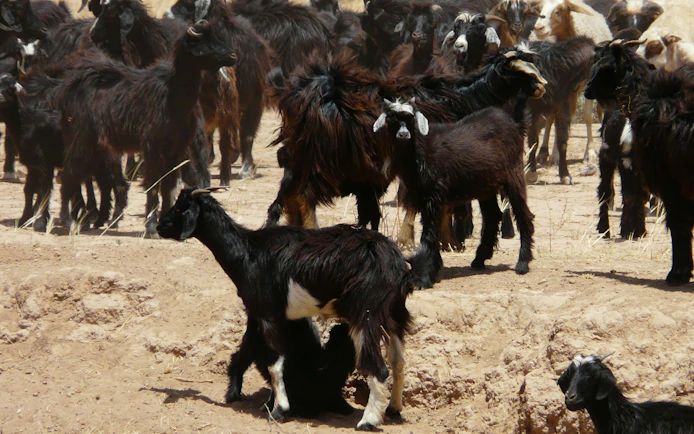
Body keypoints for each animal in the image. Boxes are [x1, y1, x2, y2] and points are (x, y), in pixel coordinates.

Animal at [52, 19, 235, 235]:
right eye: (203, 44)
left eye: (215, 36)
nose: (233, 56)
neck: (172, 94)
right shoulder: (152, 146)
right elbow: (154, 184)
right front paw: (151, 228)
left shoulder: (176, 149)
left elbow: (168, 184)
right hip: (81, 140)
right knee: (69, 176)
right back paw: (68, 222)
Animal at [374, 95, 536, 287]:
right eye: (391, 120)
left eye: (412, 119)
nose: (403, 135)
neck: (419, 152)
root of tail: (515, 124)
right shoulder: (422, 197)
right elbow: (431, 232)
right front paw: (432, 270)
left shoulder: (434, 197)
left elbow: (429, 234)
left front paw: (425, 276)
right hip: (486, 186)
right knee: (492, 216)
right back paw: (479, 259)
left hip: (514, 175)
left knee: (523, 214)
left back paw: (523, 263)